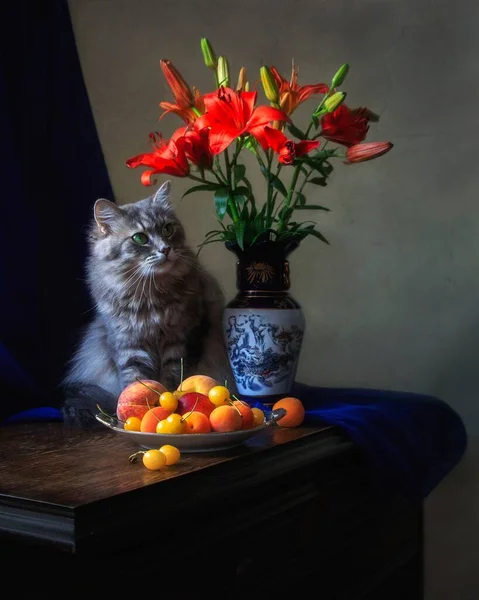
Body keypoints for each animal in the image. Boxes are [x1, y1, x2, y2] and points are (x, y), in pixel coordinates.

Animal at [61, 180, 233, 424]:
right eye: (139, 238)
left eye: (167, 229)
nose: (166, 249)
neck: (149, 296)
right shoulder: (129, 346)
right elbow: (135, 381)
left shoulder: (182, 341)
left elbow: (172, 382)